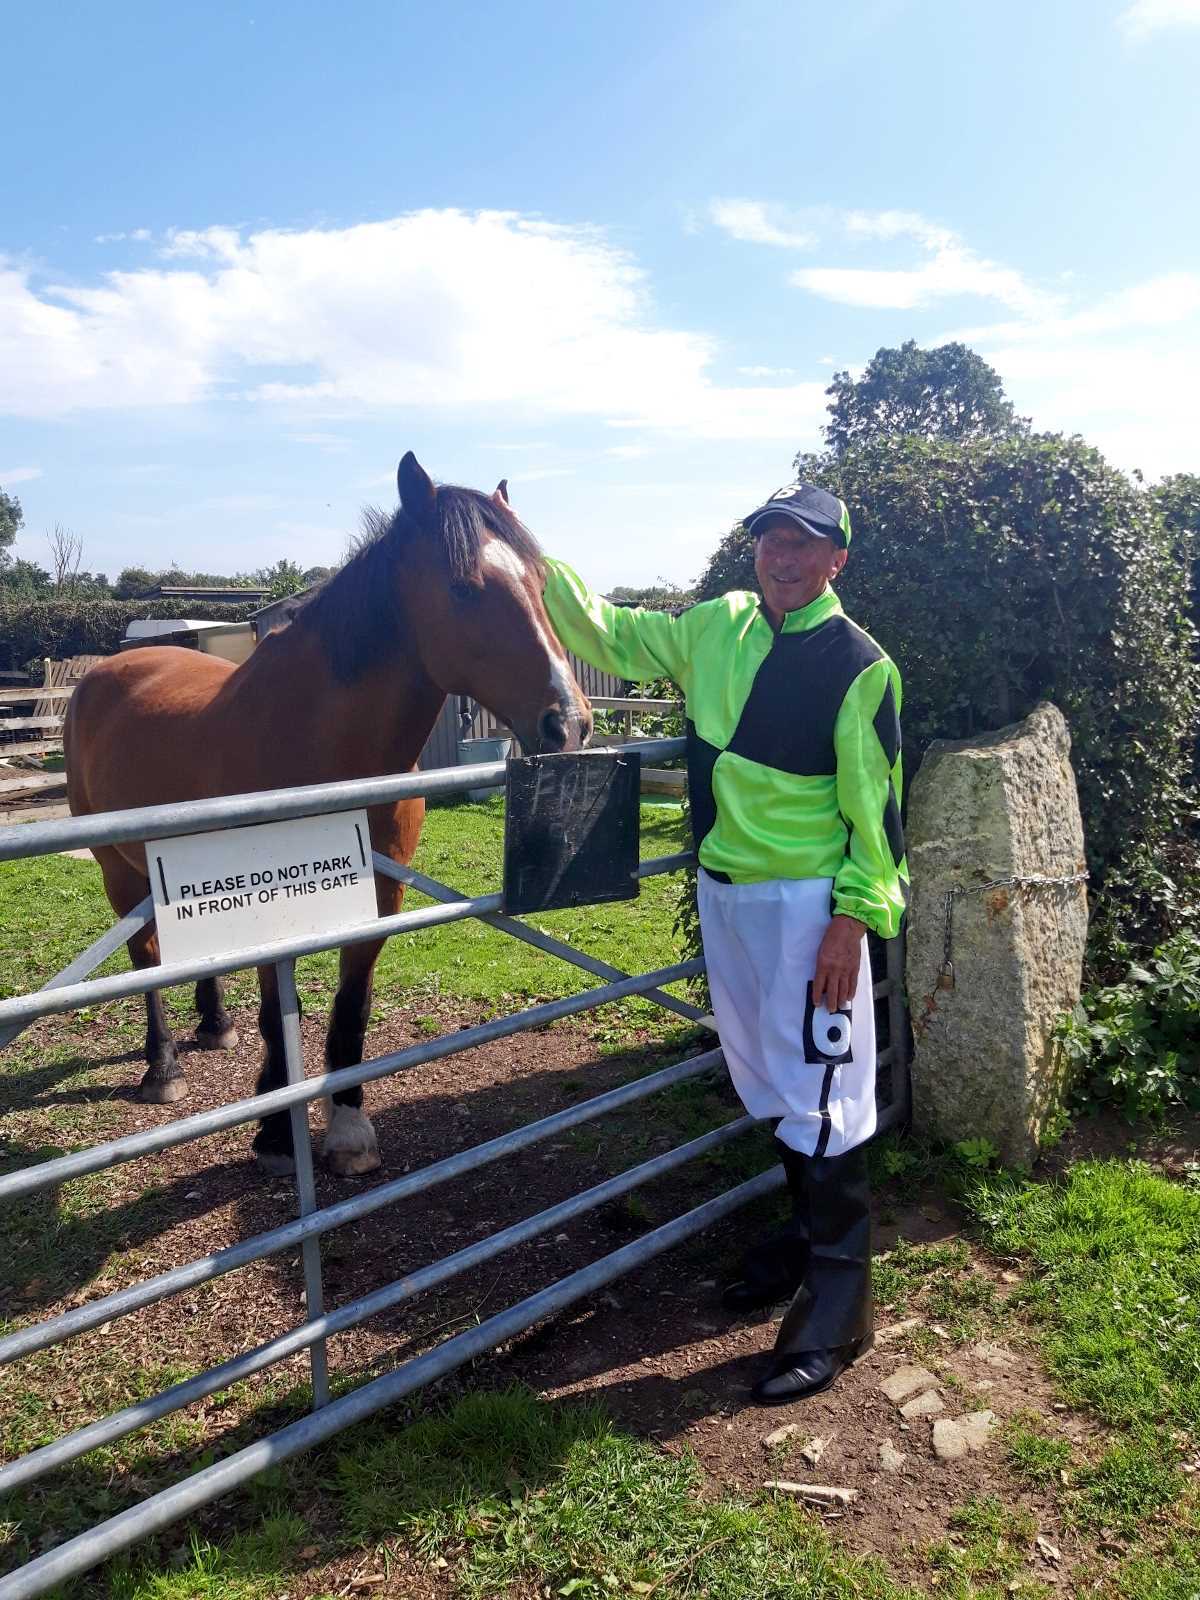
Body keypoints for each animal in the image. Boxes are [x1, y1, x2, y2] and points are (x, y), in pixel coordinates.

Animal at [65, 451, 592, 1177]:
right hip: (118, 871)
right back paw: (163, 1067)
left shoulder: (381, 895)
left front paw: (347, 1129)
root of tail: (103, 674)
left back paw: (214, 1026)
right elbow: (274, 1015)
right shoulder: (269, 905)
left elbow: (352, 1008)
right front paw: (275, 1133)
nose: (569, 722)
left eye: (541, 582)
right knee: (147, 958)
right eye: (463, 589)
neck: (323, 744)